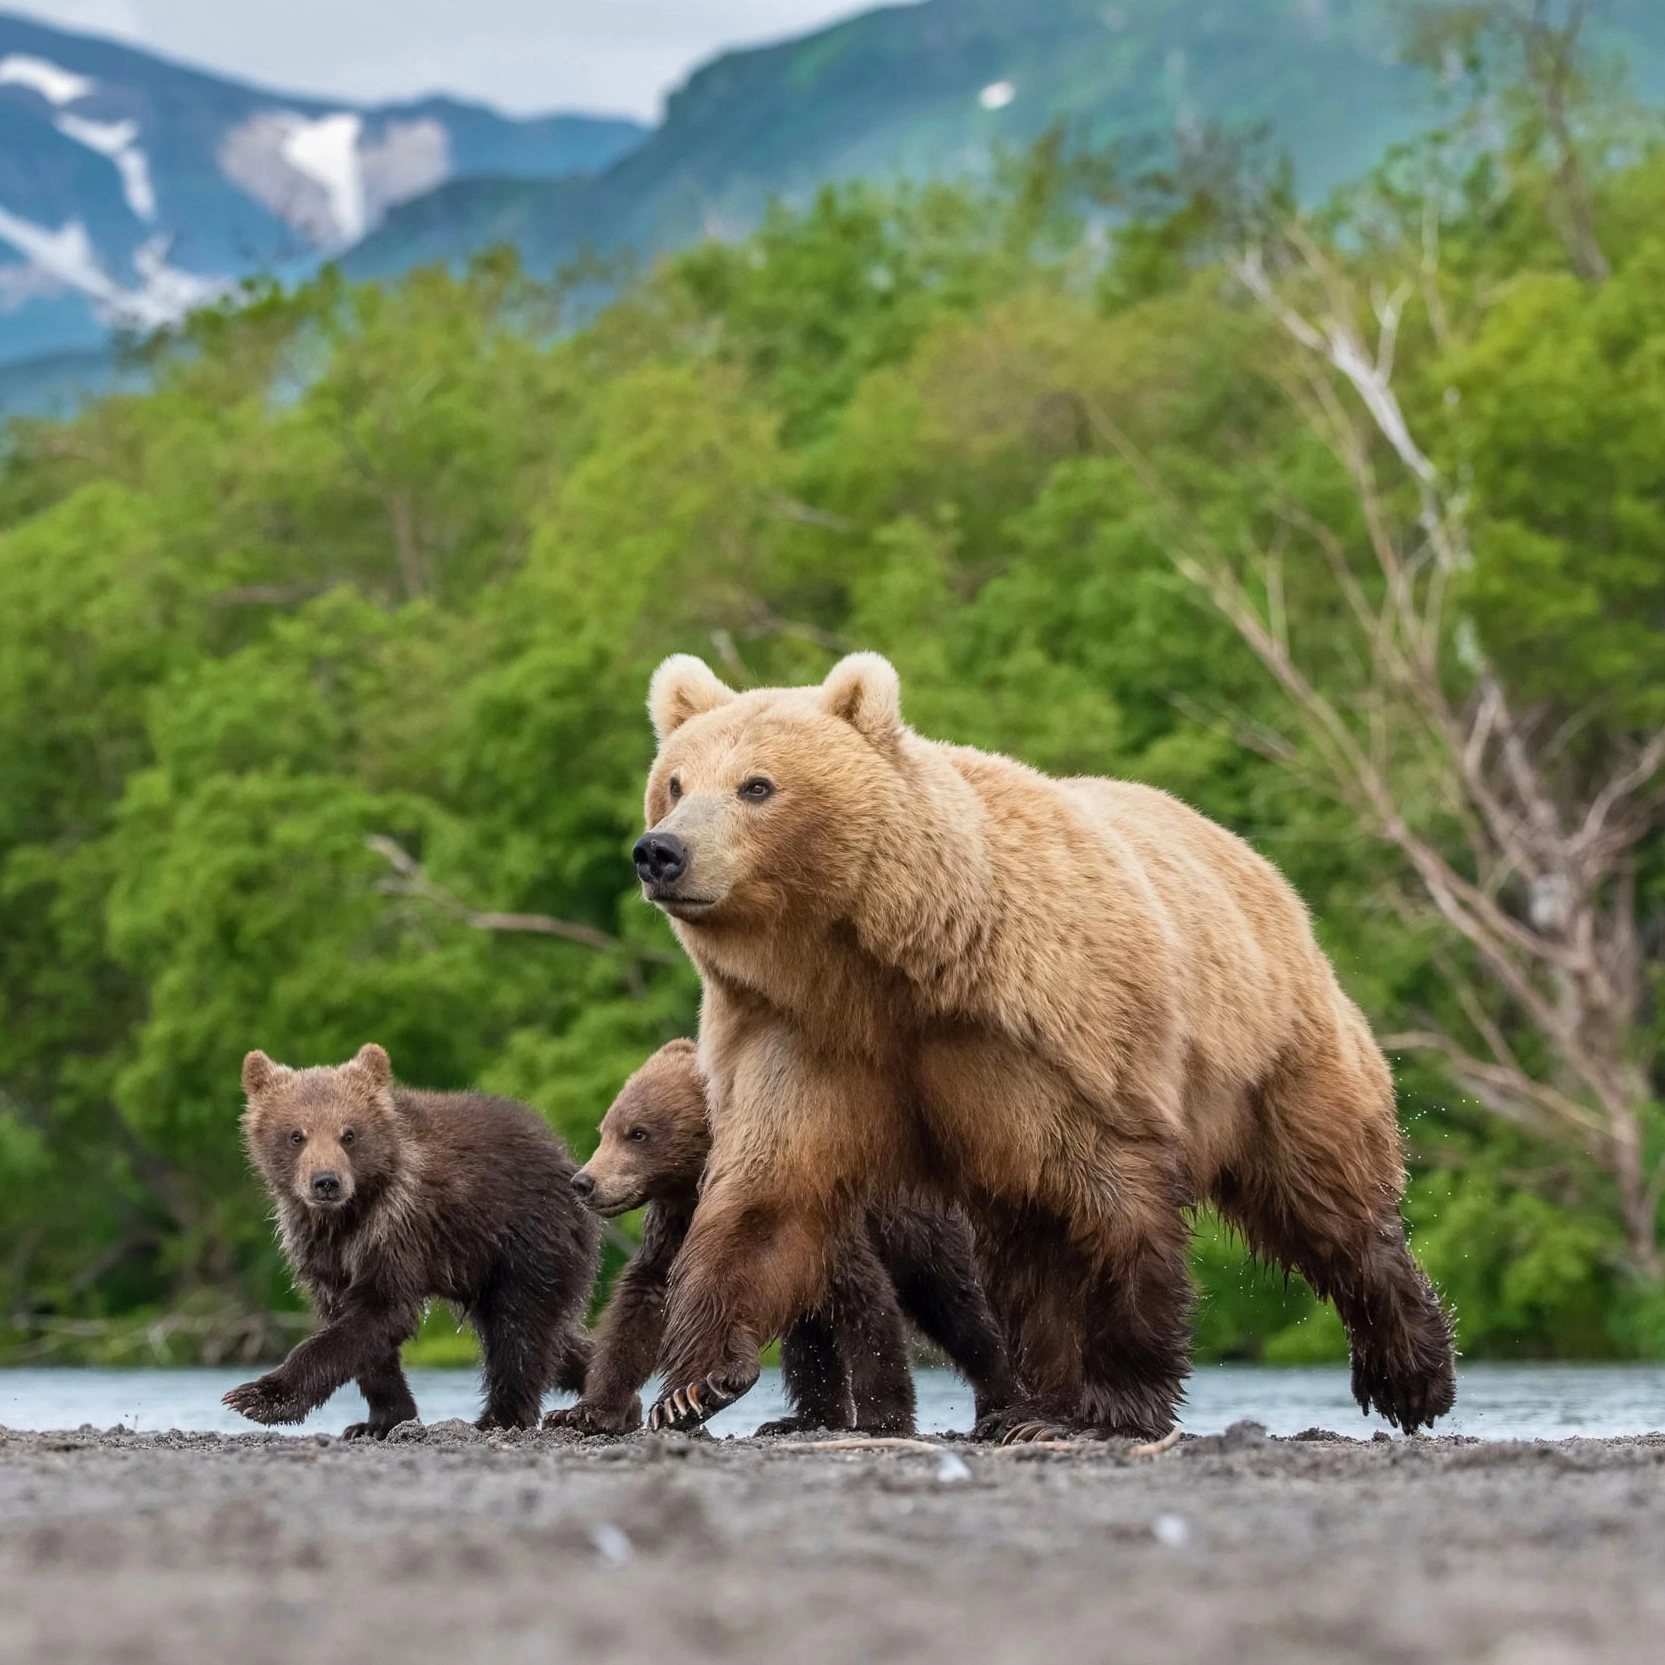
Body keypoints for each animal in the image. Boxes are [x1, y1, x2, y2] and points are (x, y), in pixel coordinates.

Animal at [636, 652, 1458, 1445]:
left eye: (757, 785)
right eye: (674, 782)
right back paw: (1025, 1404)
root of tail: (1260, 867)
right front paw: (692, 1386)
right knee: (1023, 1259)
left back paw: (1411, 1375)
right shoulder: (805, 1041)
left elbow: (1112, 1213)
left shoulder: (1053, 1035)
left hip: (1271, 1050)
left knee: (1326, 1198)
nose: (661, 851)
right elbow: (767, 1200)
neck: (881, 966)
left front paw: (1112, 1406)